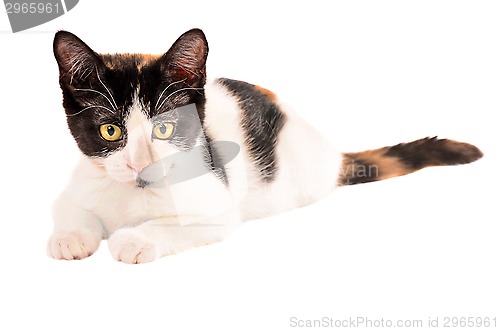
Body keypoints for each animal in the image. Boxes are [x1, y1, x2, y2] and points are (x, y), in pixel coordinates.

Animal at [48, 28, 482, 264]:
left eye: (165, 130)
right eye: (110, 131)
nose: (139, 165)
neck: (133, 193)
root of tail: (329, 152)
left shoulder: (216, 204)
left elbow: (183, 224)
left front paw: (135, 239)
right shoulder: (83, 180)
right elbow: (69, 208)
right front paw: (71, 237)